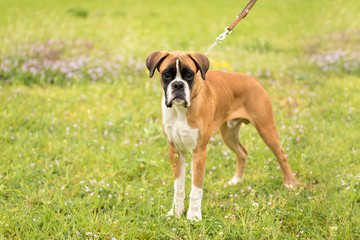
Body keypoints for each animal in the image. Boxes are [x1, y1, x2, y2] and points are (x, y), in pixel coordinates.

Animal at [145, 51, 296, 221]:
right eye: (167, 74)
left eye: (189, 75)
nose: (178, 85)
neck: (180, 111)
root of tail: (254, 80)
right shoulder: (175, 151)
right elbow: (179, 187)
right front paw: (176, 212)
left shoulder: (199, 152)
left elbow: (196, 188)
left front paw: (193, 215)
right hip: (228, 135)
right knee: (242, 153)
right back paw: (237, 180)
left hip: (266, 129)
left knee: (281, 154)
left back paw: (290, 182)